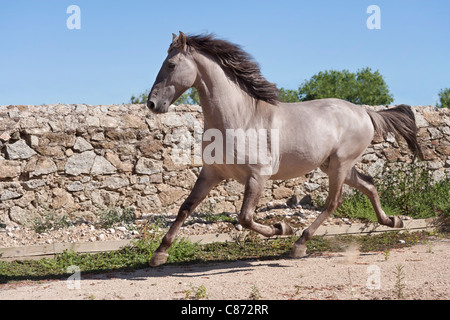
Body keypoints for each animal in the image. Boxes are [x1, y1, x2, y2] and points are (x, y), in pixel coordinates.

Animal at [145, 31, 422, 266]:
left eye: (171, 65)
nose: (152, 103)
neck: (240, 118)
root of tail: (365, 112)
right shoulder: (211, 173)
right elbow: (185, 208)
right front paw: (160, 254)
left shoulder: (257, 176)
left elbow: (245, 217)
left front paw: (282, 228)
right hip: (334, 165)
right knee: (369, 184)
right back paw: (392, 221)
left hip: (340, 165)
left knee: (334, 202)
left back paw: (299, 244)